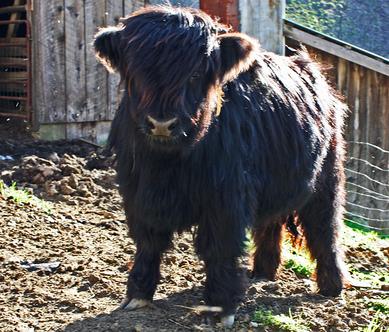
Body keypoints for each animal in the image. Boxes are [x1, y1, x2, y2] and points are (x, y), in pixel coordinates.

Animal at [93, 5, 346, 326]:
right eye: (135, 71)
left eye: (195, 73)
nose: (162, 123)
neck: (168, 163)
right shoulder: (137, 191)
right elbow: (148, 241)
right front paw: (138, 294)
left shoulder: (225, 198)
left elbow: (219, 248)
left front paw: (220, 308)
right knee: (270, 223)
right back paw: (262, 272)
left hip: (327, 178)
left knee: (325, 228)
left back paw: (331, 287)